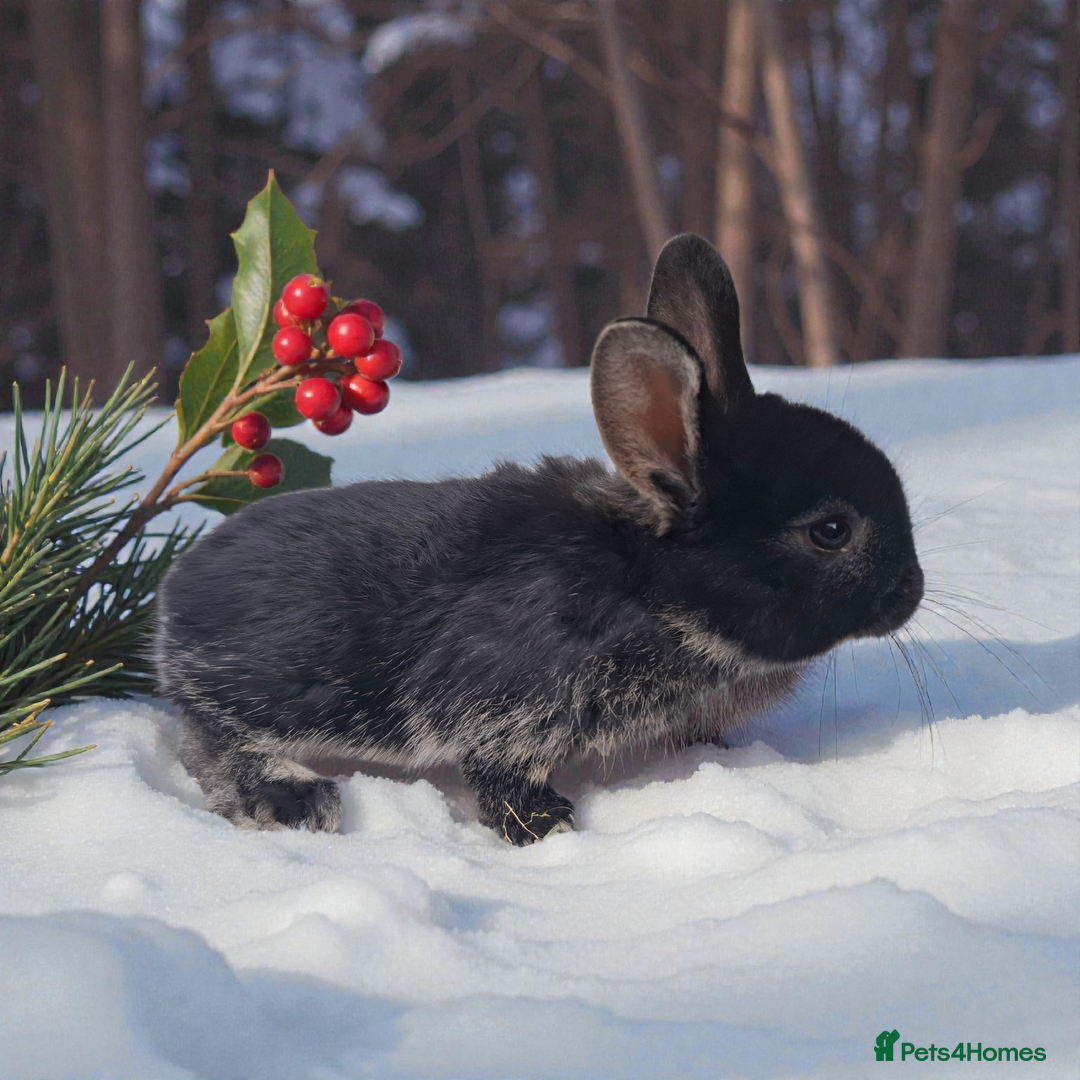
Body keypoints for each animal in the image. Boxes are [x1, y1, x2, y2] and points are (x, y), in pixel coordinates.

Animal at [154, 234, 924, 845]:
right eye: (830, 532)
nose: (911, 592)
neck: (648, 587)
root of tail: (173, 601)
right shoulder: (509, 699)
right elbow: (498, 770)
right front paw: (543, 826)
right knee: (210, 742)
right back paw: (293, 798)